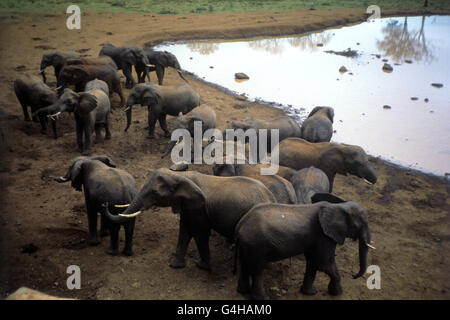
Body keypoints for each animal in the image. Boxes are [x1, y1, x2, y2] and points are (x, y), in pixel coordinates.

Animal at [104, 169, 276, 272]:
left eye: (155, 193)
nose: (104, 204)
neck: (180, 176)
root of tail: (272, 198)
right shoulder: (187, 205)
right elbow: (184, 230)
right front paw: (175, 265)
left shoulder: (200, 208)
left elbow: (199, 233)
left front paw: (201, 266)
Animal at [234, 195, 374, 300]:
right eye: (362, 224)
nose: (353, 276)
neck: (339, 205)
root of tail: (241, 223)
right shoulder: (324, 236)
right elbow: (324, 264)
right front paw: (337, 293)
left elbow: (313, 262)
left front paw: (310, 293)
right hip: (257, 245)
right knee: (257, 268)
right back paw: (263, 298)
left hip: (247, 244)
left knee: (245, 264)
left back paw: (243, 291)